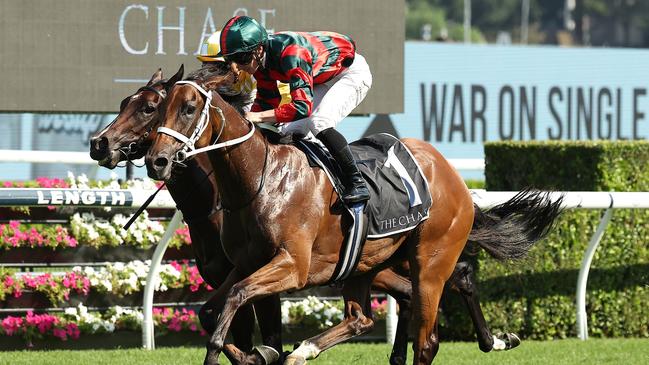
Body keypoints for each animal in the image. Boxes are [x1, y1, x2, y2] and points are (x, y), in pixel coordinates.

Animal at [144, 69, 560, 364]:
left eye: (188, 108)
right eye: (158, 109)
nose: (156, 161)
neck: (258, 180)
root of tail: (452, 175)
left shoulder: (292, 265)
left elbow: (235, 300)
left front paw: (244, 353)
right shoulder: (245, 263)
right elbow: (211, 310)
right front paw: (258, 353)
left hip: (429, 261)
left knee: (427, 339)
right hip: (368, 261)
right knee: (370, 314)